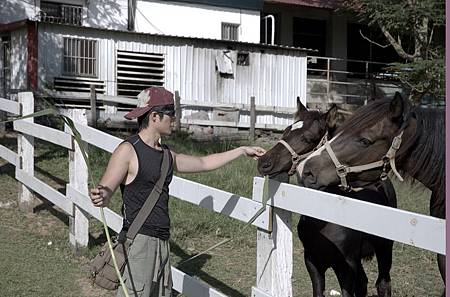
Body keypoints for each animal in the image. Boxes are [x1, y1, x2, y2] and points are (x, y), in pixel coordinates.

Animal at [258, 100, 396, 296]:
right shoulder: (313, 261)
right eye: (286, 130)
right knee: (363, 283)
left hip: (384, 248)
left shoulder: (346, 267)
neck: (324, 219)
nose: (263, 162)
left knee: (383, 283)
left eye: (308, 138)